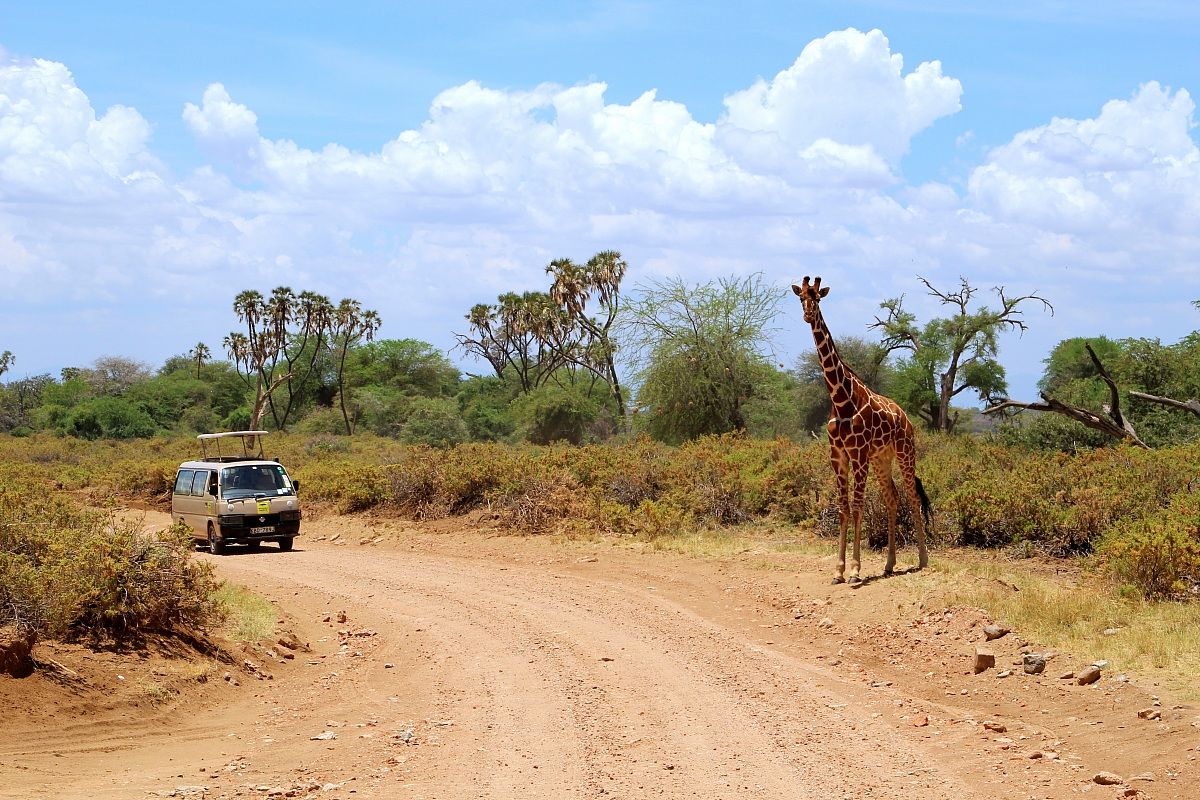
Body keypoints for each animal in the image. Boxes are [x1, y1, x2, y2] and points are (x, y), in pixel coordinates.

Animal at [792, 276, 930, 584]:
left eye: (817, 298)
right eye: (801, 298)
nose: (807, 316)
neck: (840, 398)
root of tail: (906, 418)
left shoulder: (858, 454)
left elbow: (857, 508)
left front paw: (855, 570)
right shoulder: (838, 455)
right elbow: (843, 509)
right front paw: (838, 571)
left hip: (905, 452)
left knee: (913, 497)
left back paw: (923, 560)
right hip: (881, 458)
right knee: (892, 498)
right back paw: (889, 564)